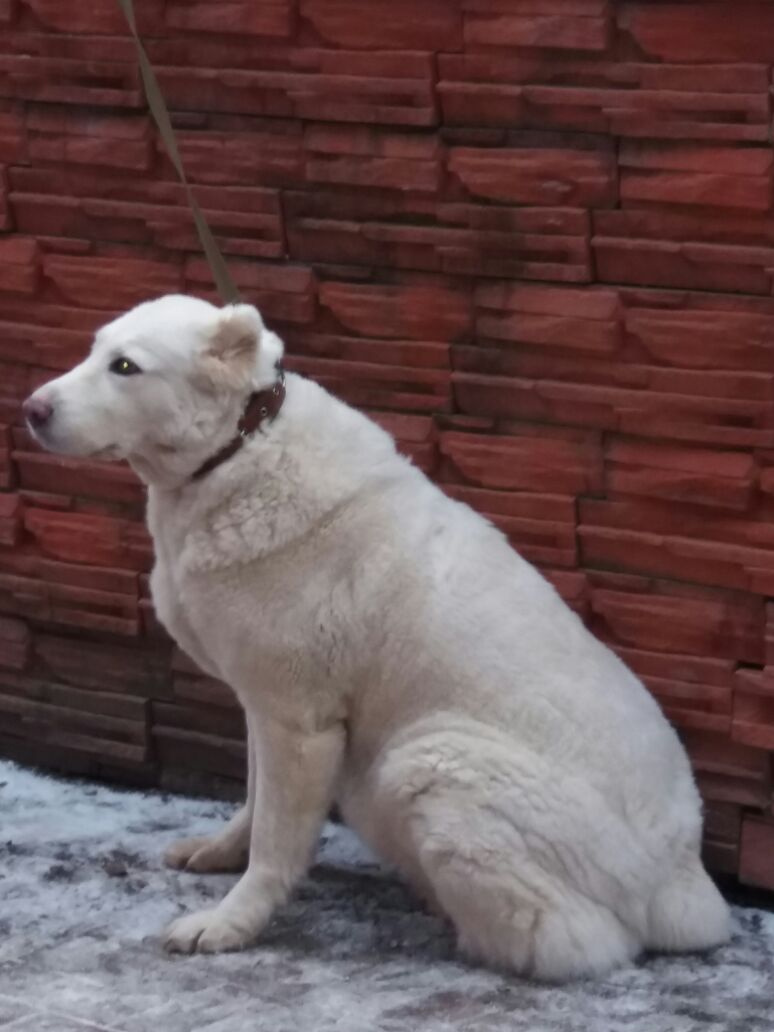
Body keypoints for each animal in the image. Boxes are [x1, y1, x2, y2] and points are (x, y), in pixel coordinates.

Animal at [23, 294, 730, 980]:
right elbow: (253, 803)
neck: (240, 448)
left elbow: (275, 841)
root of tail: (686, 877)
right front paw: (219, 853)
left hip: (427, 759)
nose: (31, 410)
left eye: (126, 368)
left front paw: (232, 924)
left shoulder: (299, 723)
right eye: (94, 351)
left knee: (581, 940)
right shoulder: (265, 706)